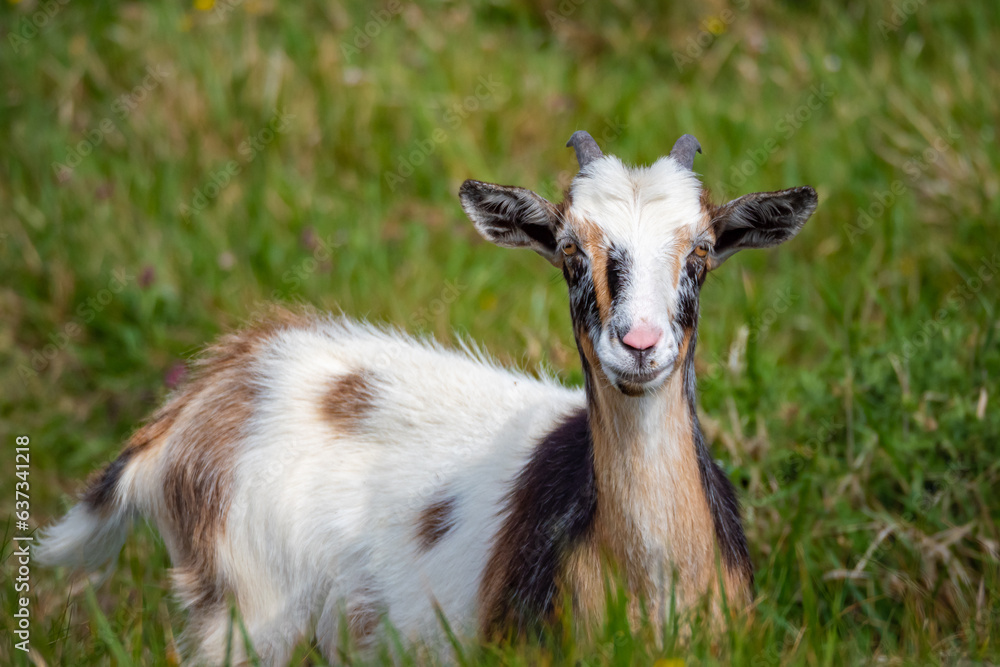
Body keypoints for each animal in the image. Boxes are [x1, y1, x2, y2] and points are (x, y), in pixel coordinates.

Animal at [37, 131, 817, 664]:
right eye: (569, 252)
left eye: (702, 254)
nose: (640, 343)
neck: (656, 588)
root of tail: (209, 391)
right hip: (243, 614)